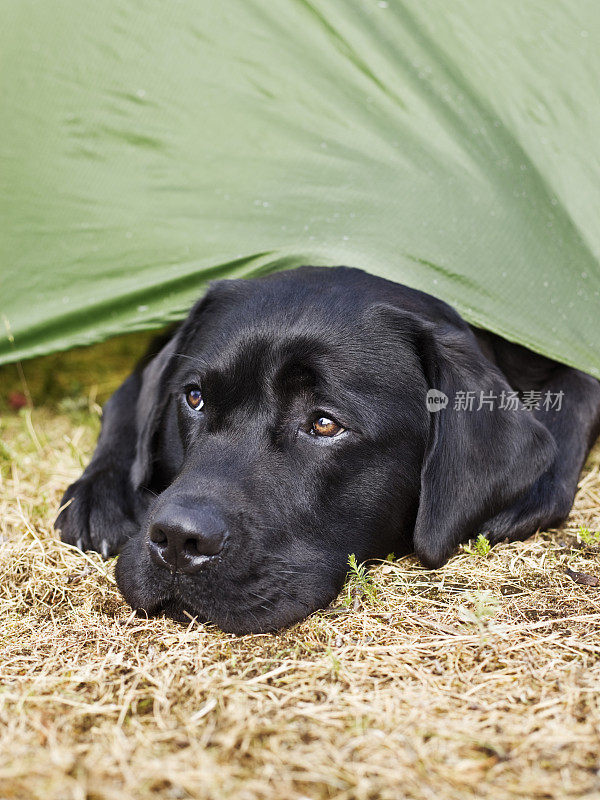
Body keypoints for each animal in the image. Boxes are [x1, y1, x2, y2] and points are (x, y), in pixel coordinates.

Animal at [55, 268, 600, 632]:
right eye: (194, 397)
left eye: (324, 423)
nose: (175, 539)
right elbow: (126, 398)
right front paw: (100, 495)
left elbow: (580, 387)